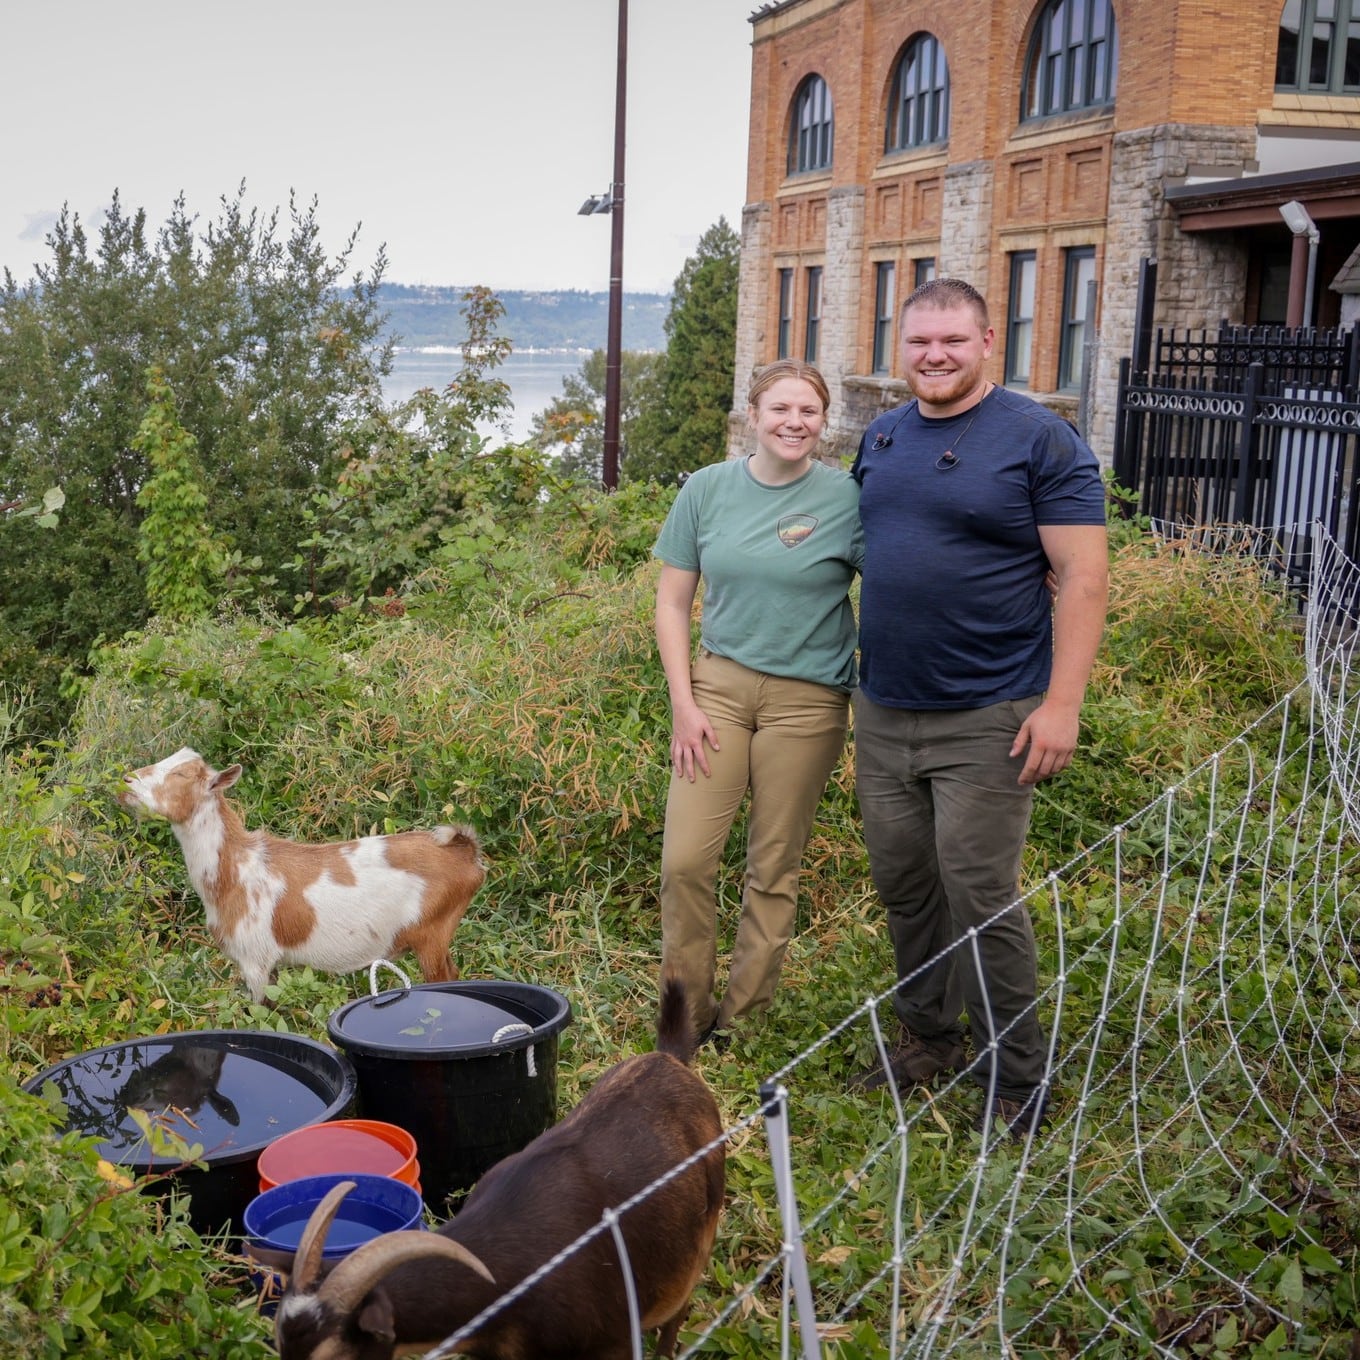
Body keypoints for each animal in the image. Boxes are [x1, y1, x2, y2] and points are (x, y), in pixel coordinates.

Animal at [118, 750, 484, 1006]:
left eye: (181, 773)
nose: (125, 781)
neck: (235, 870)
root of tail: (465, 853)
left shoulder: (255, 959)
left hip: (432, 932)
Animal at [269, 979, 728, 1360]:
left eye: (332, 1357)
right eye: (279, 1343)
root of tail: (669, 1057)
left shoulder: (612, 1343)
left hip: (701, 1234)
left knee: (680, 1302)